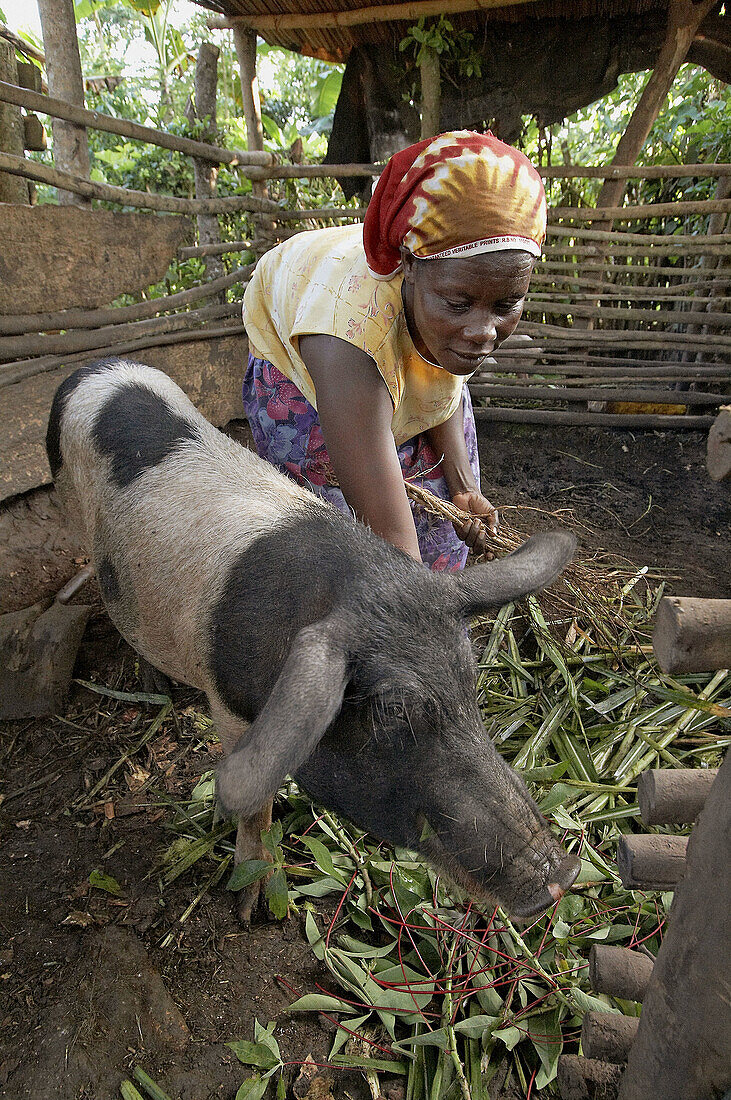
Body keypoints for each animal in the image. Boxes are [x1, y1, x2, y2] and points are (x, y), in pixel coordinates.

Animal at [45, 358, 580, 919]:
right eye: (392, 712)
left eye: (469, 684)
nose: (563, 875)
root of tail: (91, 367)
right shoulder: (232, 705)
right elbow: (255, 804)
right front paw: (249, 906)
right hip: (73, 512)